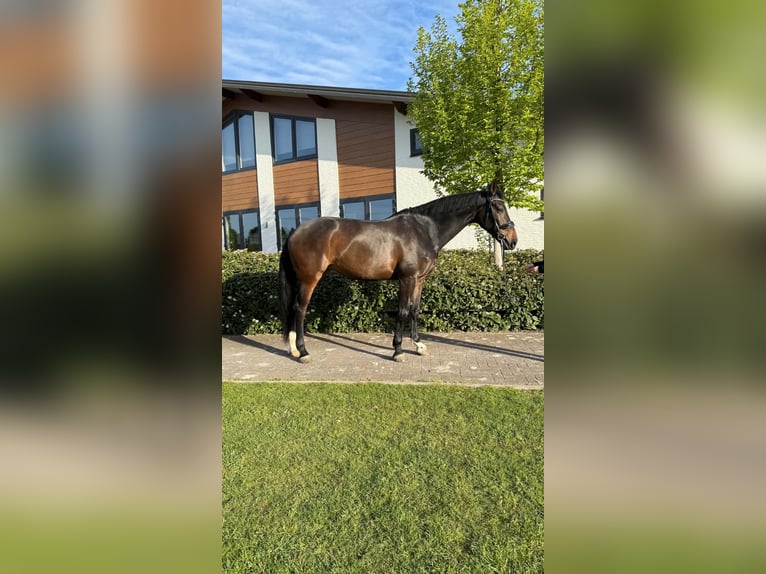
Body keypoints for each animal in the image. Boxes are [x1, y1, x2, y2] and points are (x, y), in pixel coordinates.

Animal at [278, 182, 518, 362]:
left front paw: (419, 345)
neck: (424, 229)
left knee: (294, 308)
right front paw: (398, 351)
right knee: (300, 309)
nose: (512, 241)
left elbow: (415, 310)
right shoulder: (407, 279)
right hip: (309, 278)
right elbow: (402, 312)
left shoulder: (419, 280)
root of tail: (295, 231)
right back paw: (303, 352)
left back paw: (293, 349)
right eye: (498, 208)